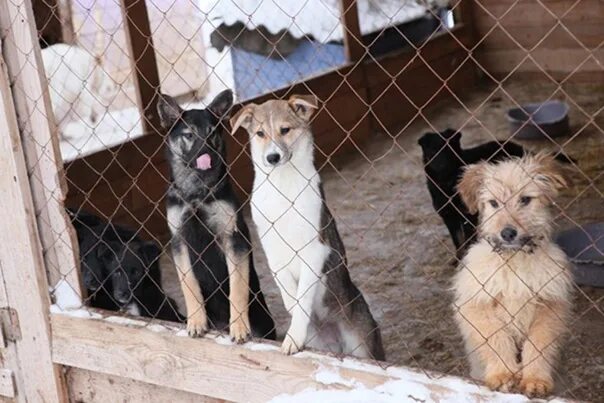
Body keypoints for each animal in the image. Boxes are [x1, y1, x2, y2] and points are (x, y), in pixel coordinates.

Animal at [158, 90, 276, 342]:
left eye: (211, 133)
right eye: (189, 134)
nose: (206, 153)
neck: (197, 192)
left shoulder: (233, 239)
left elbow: (237, 288)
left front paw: (239, 326)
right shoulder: (179, 242)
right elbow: (189, 285)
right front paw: (196, 321)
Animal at [229, 94, 384, 360]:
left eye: (285, 130)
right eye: (260, 133)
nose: (272, 158)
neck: (283, 185)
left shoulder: (314, 250)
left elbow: (302, 298)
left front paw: (293, 336)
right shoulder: (273, 252)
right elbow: (290, 293)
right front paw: (292, 312)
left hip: (361, 346)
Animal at [418, 129, 572, 262]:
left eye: (450, 151)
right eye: (433, 151)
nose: (442, 166)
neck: (446, 185)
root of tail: (516, 145)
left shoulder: (467, 218)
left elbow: (467, 240)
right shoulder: (448, 218)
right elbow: (457, 242)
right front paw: (458, 258)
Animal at [452, 154, 576, 398]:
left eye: (525, 199)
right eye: (494, 203)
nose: (507, 233)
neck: (514, 260)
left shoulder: (549, 305)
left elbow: (538, 343)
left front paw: (535, 378)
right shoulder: (477, 304)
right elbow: (496, 338)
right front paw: (503, 374)